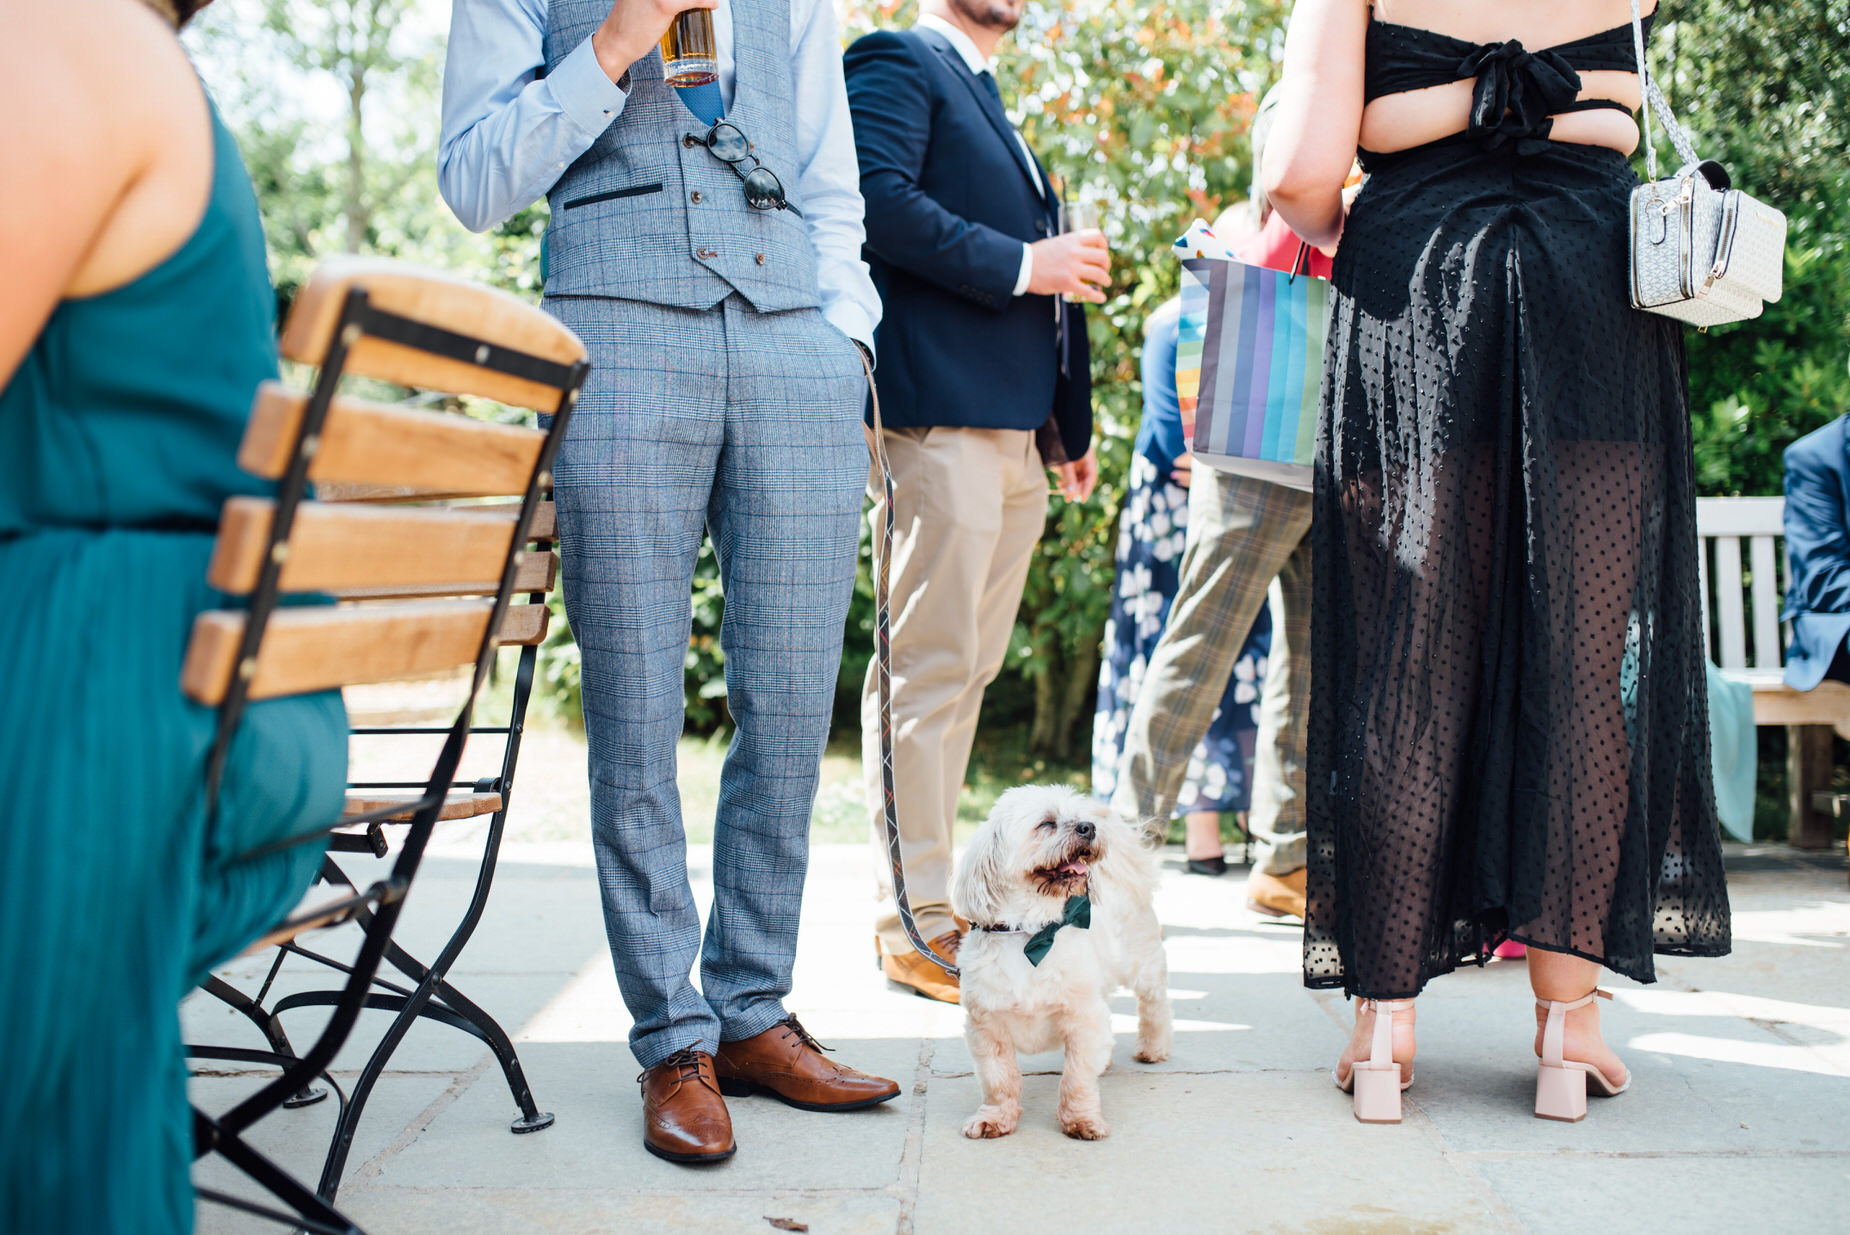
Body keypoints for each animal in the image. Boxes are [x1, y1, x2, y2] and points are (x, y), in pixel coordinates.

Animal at [954, 787, 1169, 1146]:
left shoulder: (1082, 1020)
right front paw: (995, 1118)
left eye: (1080, 819)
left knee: (1155, 1005)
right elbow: (999, 1080)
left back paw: (1154, 1047)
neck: (1030, 932)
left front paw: (1081, 1120)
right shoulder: (988, 1027)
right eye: (1046, 823)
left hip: (1144, 964)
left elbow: (1076, 1079)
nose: (1088, 827)